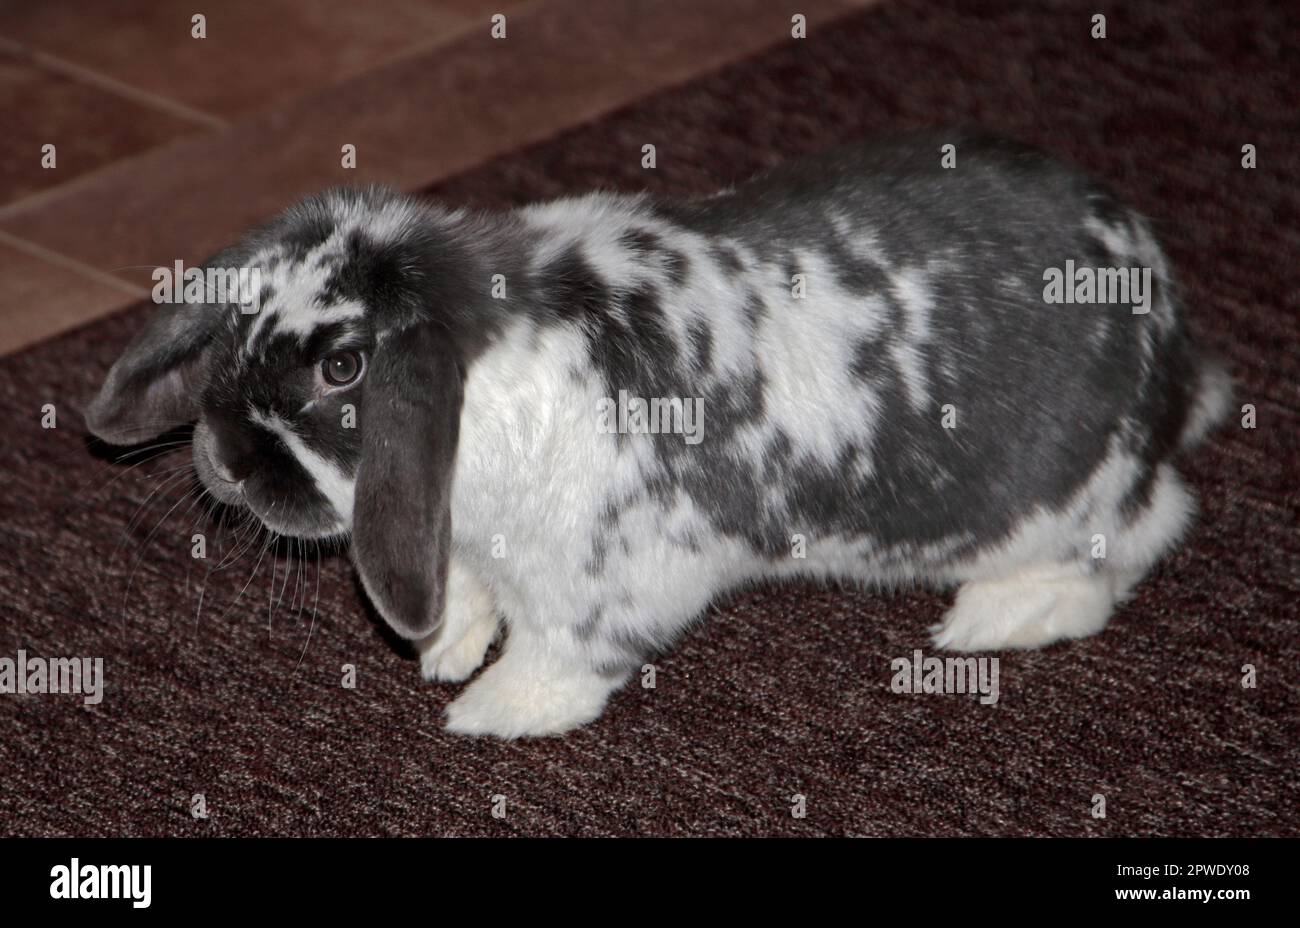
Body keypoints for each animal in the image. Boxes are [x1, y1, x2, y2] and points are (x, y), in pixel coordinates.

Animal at [86, 132, 1232, 738]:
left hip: (1069, 503)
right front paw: (447, 649)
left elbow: (564, 651)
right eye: (238, 319)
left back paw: (993, 618)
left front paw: (489, 709)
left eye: (341, 368)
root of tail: (1171, 340)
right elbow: (468, 589)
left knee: (1133, 542)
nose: (220, 463)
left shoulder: (610, 576)